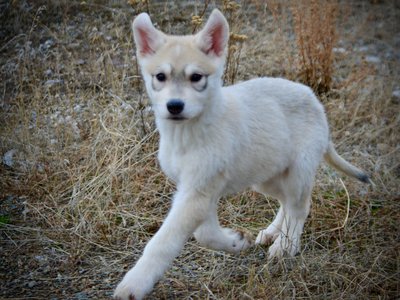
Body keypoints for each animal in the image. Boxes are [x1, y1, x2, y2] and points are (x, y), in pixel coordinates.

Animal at [112, 8, 368, 300]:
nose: (174, 106)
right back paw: (272, 233)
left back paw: (286, 247)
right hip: (266, 176)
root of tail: (315, 102)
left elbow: (165, 242)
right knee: (287, 203)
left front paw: (134, 284)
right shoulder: (199, 191)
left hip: (297, 173)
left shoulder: (197, 194)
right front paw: (235, 241)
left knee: (300, 207)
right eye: (160, 77)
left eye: (196, 78)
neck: (188, 134)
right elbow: (205, 232)